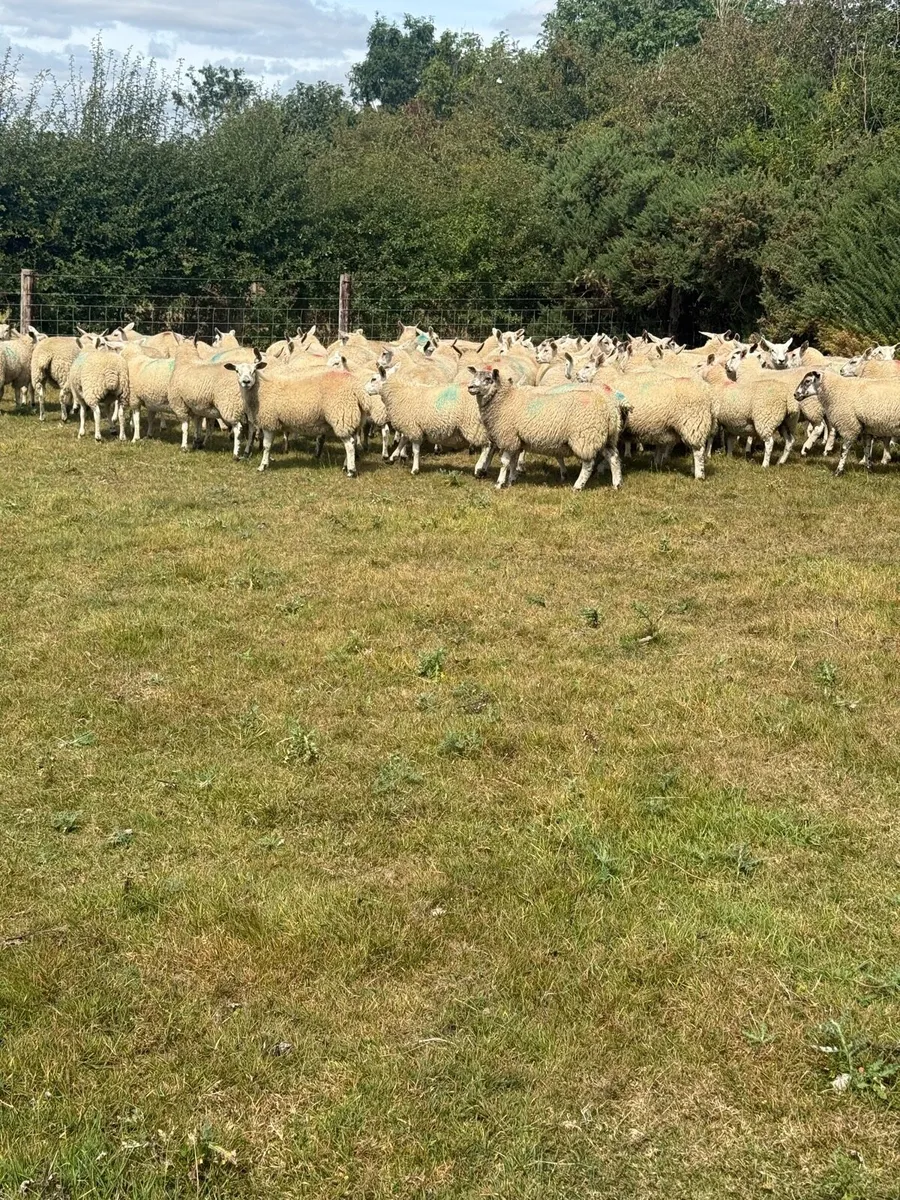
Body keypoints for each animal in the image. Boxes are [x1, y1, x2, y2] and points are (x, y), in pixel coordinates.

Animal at [466, 368, 627, 490]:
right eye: (474, 376)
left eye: (488, 379)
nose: (470, 387)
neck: (504, 400)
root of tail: (611, 409)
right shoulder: (517, 439)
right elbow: (513, 461)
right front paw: (512, 480)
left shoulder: (508, 437)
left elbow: (505, 462)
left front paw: (499, 483)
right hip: (607, 437)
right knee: (613, 457)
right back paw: (617, 484)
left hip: (585, 437)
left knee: (588, 464)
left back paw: (578, 486)